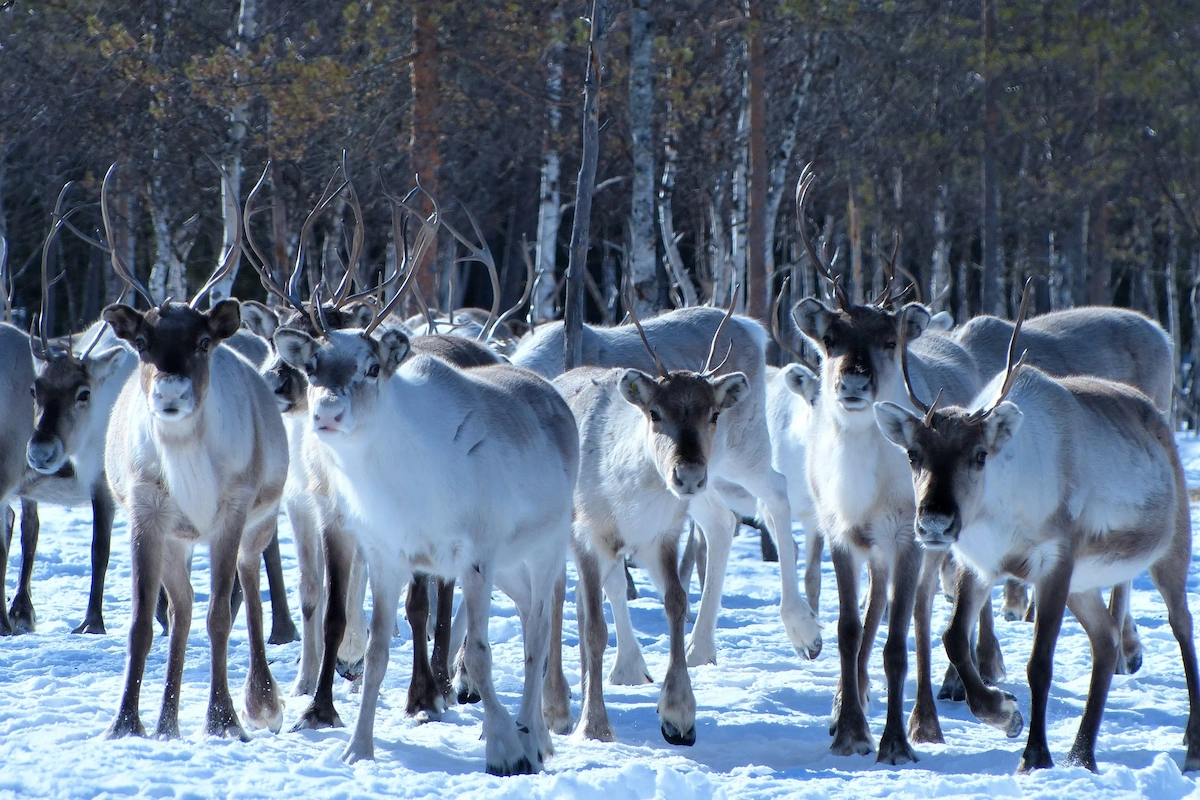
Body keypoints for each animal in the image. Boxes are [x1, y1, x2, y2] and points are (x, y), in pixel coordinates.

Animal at [99, 162, 288, 741]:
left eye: (203, 342)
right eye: (142, 343)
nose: (171, 394)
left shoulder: (231, 510)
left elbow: (220, 616)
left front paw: (223, 719)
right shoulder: (146, 511)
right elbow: (142, 622)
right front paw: (126, 723)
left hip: (259, 523)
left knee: (249, 592)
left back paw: (261, 702)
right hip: (177, 541)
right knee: (179, 613)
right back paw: (165, 722)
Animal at [271, 210, 580, 774]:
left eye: (372, 367)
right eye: (312, 366)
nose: (326, 412)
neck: (401, 481)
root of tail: (550, 393)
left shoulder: (474, 555)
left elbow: (476, 649)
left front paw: (505, 749)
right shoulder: (388, 555)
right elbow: (373, 653)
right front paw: (357, 746)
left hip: (544, 547)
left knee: (540, 631)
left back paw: (531, 733)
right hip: (510, 565)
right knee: (530, 614)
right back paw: (534, 733)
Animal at [791, 164, 993, 764]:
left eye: (886, 339)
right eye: (829, 337)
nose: (854, 381)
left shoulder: (907, 537)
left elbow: (899, 642)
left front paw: (894, 742)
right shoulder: (842, 532)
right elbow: (848, 630)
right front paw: (848, 729)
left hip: (932, 542)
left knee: (922, 614)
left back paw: (926, 718)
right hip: (875, 551)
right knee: (874, 609)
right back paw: (846, 704)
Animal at [874, 281, 1200, 773]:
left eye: (979, 455)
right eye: (914, 454)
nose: (934, 521)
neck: (1000, 511)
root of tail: (1160, 419)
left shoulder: (1055, 561)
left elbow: (1039, 663)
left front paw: (1035, 755)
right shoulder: (980, 565)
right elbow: (954, 639)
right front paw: (1004, 713)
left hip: (1170, 551)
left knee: (1182, 625)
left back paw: (1192, 744)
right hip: (1085, 583)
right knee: (1105, 641)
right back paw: (1082, 755)